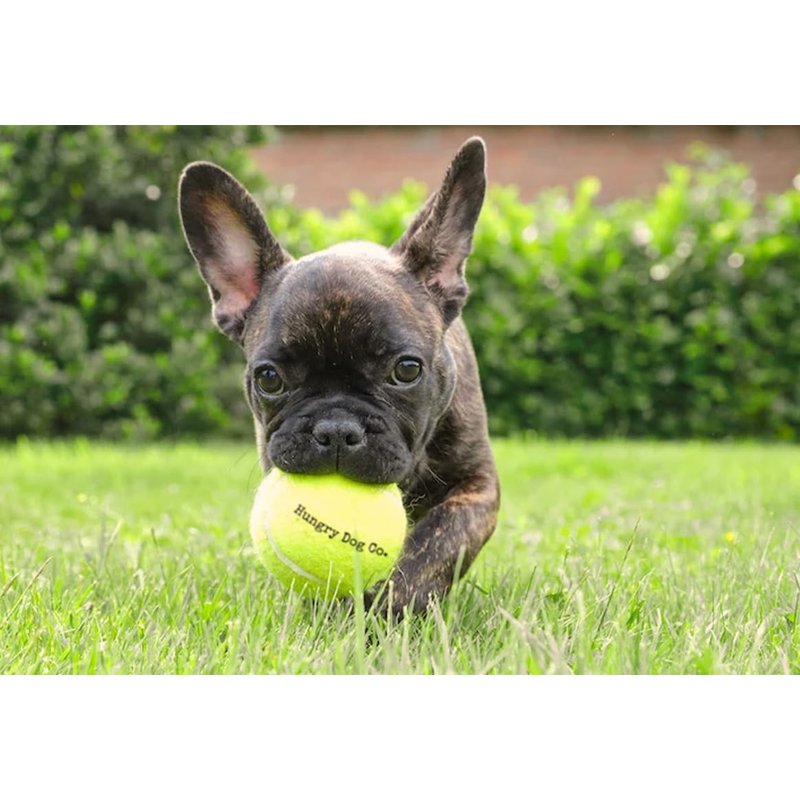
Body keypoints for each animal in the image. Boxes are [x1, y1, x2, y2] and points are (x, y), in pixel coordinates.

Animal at [178, 136, 500, 615]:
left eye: (407, 370)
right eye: (269, 378)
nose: (335, 428)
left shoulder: (477, 484)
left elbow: (441, 539)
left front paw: (393, 604)